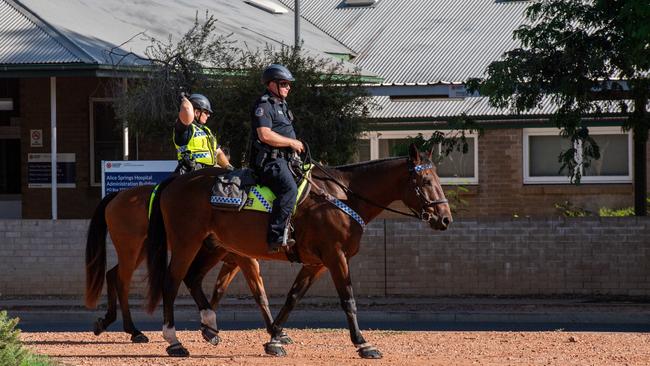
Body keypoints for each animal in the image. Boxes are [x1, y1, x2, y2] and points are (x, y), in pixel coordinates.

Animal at [83, 184, 286, 344]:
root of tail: (118, 194)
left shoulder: (231, 261)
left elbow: (218, 290)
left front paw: (208, 327)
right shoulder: (244, 259)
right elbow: (258, 294)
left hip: (141, 250)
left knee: (112, 274)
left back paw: (107, 322)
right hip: (130, 249)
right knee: (122, 282)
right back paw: (134, 331)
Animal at [146, 144, 450, 358]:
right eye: (425, 182)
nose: (445, 218)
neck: (341, 197)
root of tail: (176, 182)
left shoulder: (316, 264)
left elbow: (292, 298)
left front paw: (274, 338)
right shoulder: (336, 257)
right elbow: (348, 300)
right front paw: (363, 343)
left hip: (213, 246)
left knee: (193, 278)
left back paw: (210, 326)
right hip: (187, 243)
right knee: (171, 282)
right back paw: (174, 341)